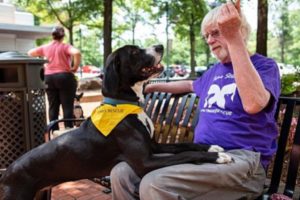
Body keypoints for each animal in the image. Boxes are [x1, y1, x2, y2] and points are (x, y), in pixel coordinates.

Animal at [0, 44, 232, 199]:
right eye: (134, 52)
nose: (160, 45)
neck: (126, 104)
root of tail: (6, 175)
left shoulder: (154, 146)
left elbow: (184, 145)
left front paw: (211, 147)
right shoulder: (145, 162)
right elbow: (185, 154)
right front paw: (217, 157)